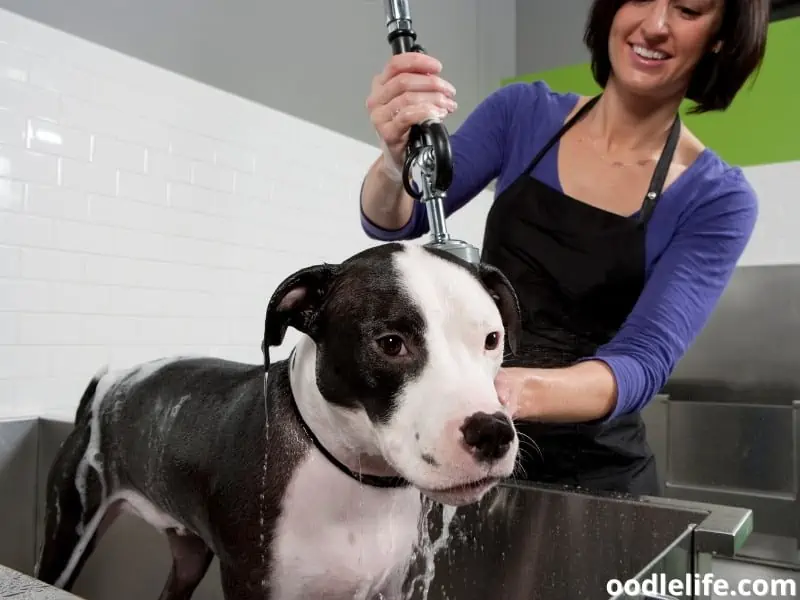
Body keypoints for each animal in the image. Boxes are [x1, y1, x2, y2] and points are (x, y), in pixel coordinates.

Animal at [34, 240, 524, 600]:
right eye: (390, 343)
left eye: (491, 339)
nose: (492, 433)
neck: (351, 475)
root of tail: (104, 391)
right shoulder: (256, 586)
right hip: (67, 532)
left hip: (189, 555)